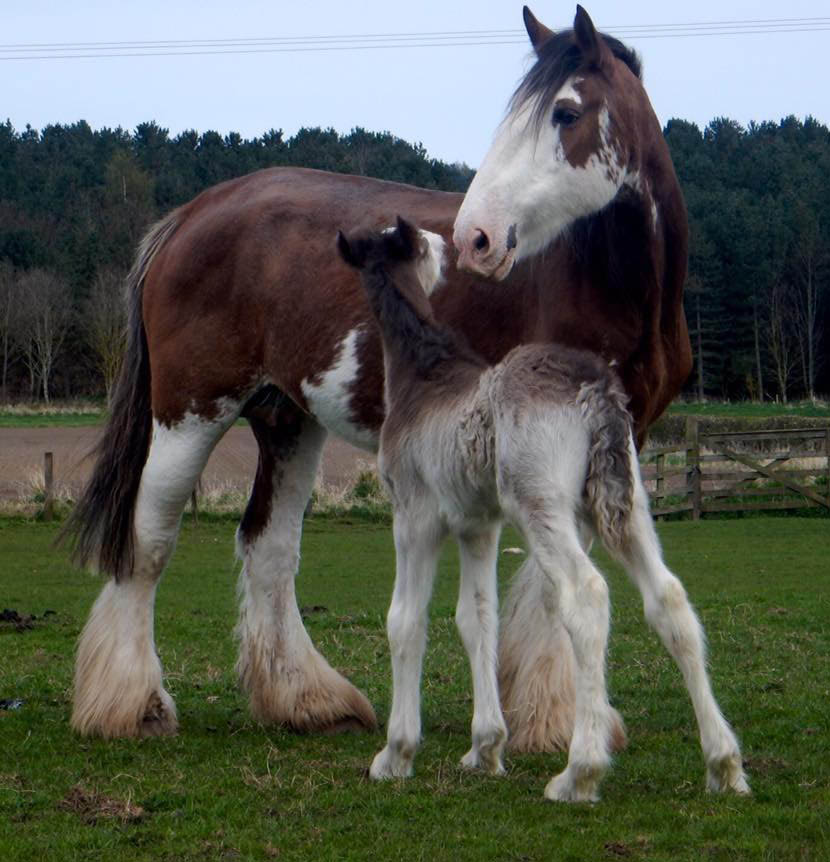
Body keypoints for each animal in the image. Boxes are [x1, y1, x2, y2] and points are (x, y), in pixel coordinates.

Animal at [65, 5, 692, 748]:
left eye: (565, 113)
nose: (475, 238)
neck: (606, 280)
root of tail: (191, 215)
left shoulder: (617, 438)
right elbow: (549, 585)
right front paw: (557, 721)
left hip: (287, 421)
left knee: (269, 547)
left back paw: (306, 699)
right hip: (190, 412)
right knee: (151, 542)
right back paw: (132, 706)